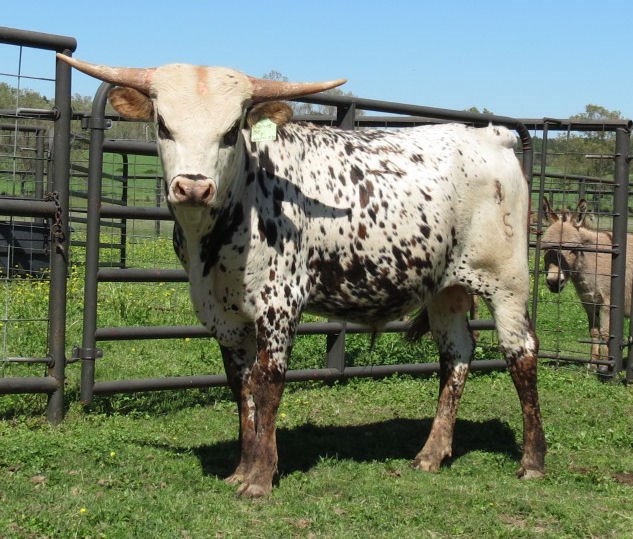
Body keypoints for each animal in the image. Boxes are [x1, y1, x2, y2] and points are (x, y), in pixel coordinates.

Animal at [57, 54, 546, 497]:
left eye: (231, 131)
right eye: (163, 126)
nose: (193, 187)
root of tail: (494, 136)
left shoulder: (280, 303)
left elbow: (268, 383)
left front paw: (259, 479)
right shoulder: (224, 315)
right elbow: (242, 386)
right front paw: (243, 469)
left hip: (506, 282)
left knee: (521, 355)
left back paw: (532, 461)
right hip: (446, 288)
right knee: (456, 355)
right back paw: (431, 454)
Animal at [541, 197, 633, 366]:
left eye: (573, 249)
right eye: (545, 247)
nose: (554, 282)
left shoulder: (607, 302)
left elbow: (605, 333)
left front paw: (604, 365)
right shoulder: (589, 302)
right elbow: (594, 332)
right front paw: (592, 363)